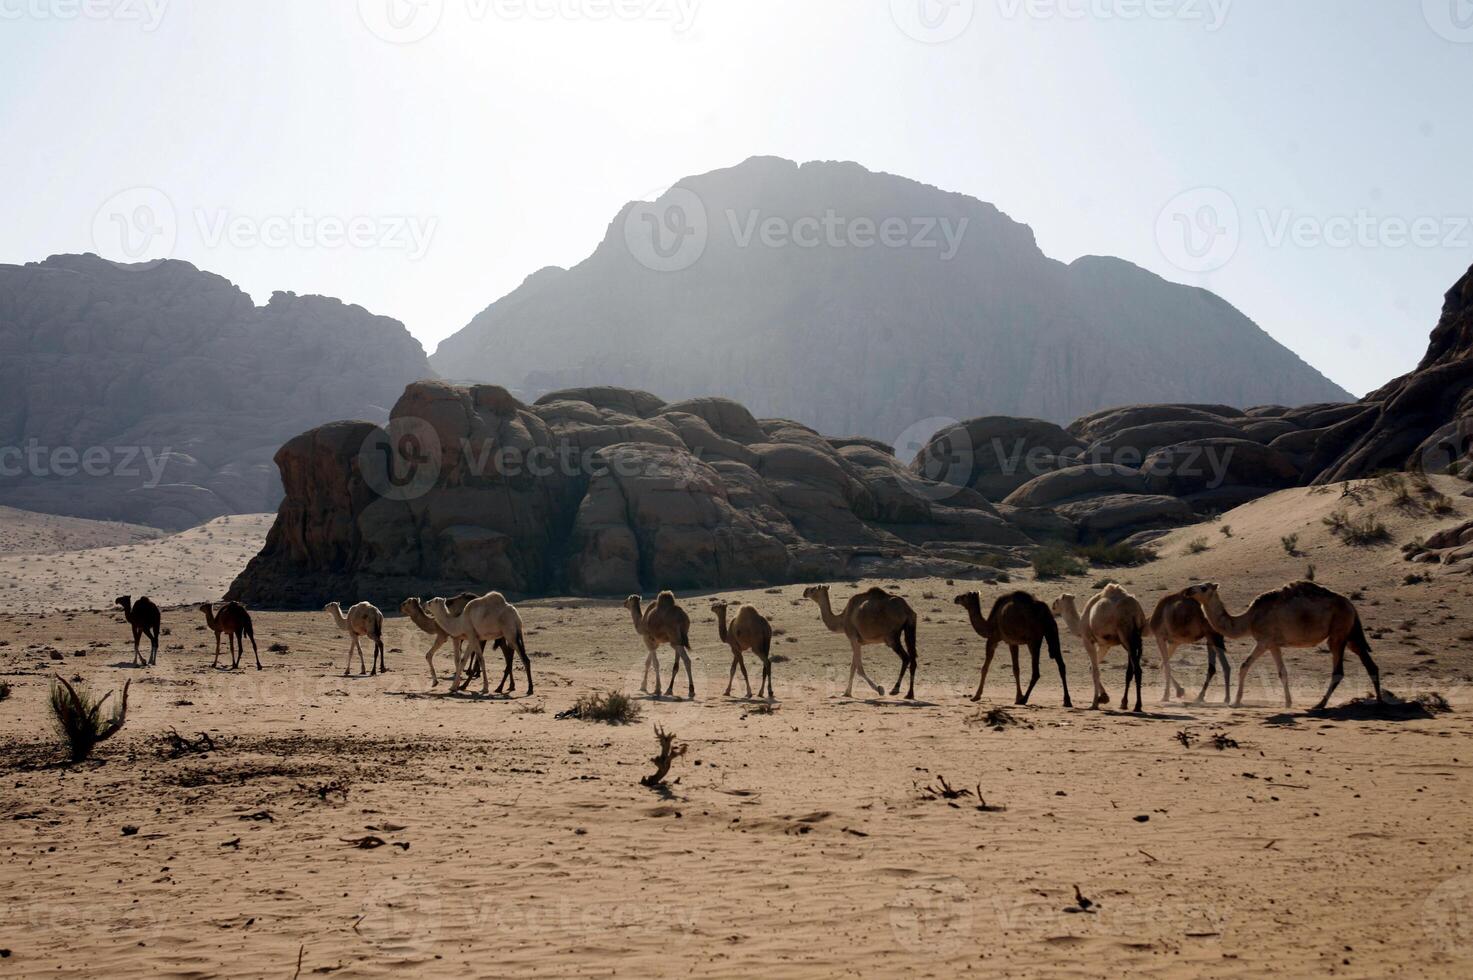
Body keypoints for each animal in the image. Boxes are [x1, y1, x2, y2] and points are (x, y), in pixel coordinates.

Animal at [1048, 580, 1148, 710]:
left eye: (1057, 600)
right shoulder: (1104, 644)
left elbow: (1095, 670)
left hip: (1125, 635)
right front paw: (1104, 698)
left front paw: (1095, 703)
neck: (1080, 624)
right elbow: (1092, 667)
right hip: (1136, 638)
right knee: (1131, 669)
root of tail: (1135, 611)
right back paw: (1124, 703)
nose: (1052, 606)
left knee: (1137, 670)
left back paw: (1137, 706)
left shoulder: (1087, 639)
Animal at [1184, 580, 1378, 710]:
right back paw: (1380, 702)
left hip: (1338, 633)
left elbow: (1244, 665)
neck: (1249, 619)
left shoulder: (1264, 640)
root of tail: (1351, 605)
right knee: (1370, 664)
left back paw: (1320, 704)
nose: (1187, 590)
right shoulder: (1274, 644)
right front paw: (1288, 702)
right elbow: (1282, 672)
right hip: (1350, 635)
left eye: (1204, 587)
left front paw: (1236, 702)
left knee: (1338, 670)